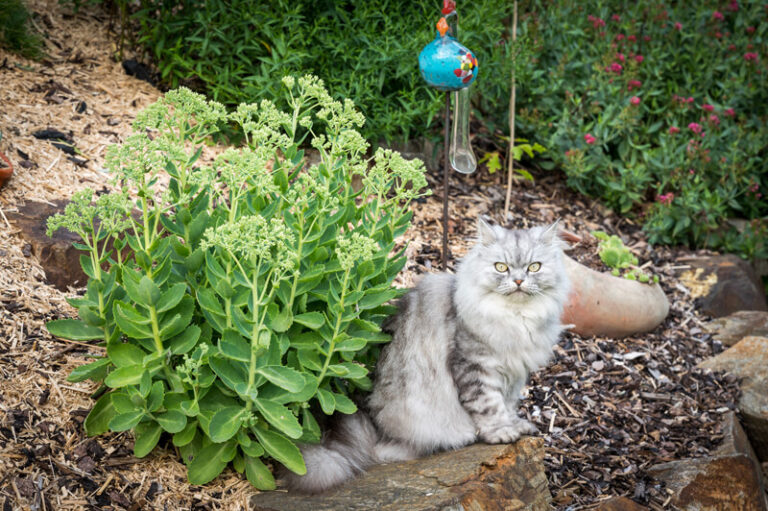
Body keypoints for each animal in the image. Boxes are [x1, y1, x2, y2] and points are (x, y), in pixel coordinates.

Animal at [286, 219, 568, 492]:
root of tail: (374, 426)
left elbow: (508, 405)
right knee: (388, 451)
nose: (519, 281)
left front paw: (516, 425)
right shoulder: (476, 365)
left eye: (534, 267)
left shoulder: (514, 372)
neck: (516, 318)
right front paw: (500, 433)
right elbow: (489, 406)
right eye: (501, 267)